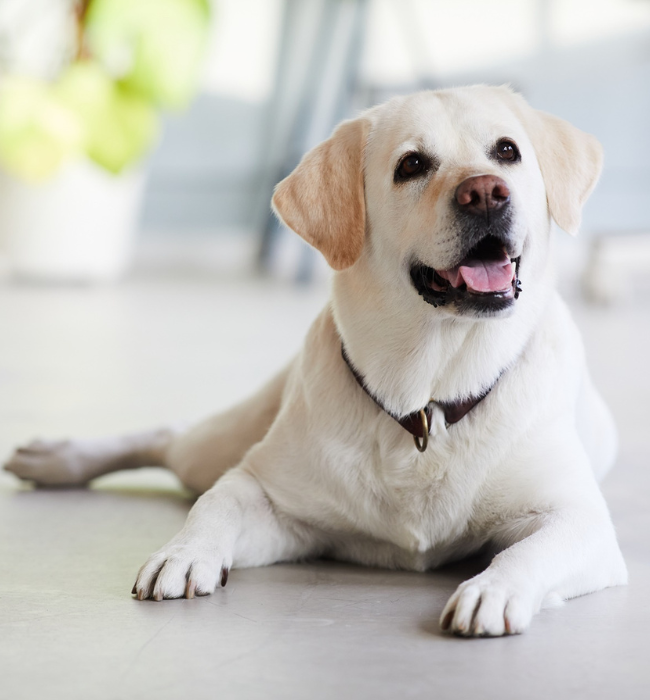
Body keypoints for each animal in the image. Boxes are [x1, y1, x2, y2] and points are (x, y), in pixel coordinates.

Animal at [3, 86, 624, 636]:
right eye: (412, 164)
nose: (487, 192)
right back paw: (55, 458)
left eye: (507, 151)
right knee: (170, 437)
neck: (426, 400)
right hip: (217, 444)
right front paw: (182, 552)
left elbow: (530, 551)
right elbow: (216, 502)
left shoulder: (580, 521)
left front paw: (493, 590)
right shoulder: (274, 497)